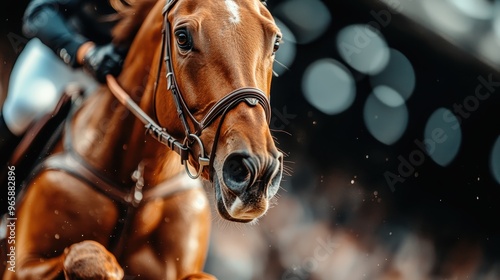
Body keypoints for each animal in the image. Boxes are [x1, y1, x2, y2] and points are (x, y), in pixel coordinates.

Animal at [2, 0, 282, 278]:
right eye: (182, 37)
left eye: (276, 42)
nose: (256, 170)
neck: (136, 187)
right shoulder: (21, 266)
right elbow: (88, 259)